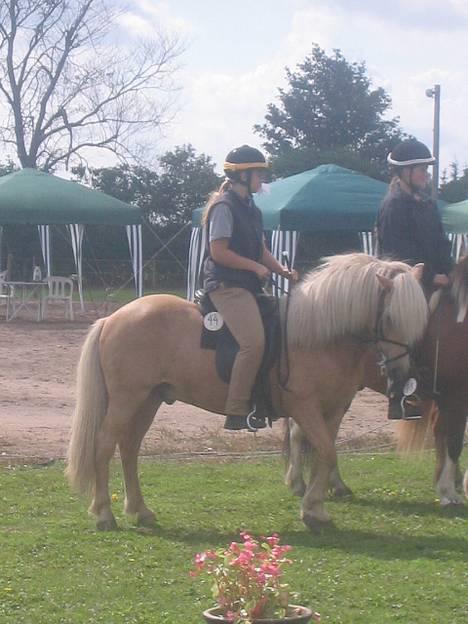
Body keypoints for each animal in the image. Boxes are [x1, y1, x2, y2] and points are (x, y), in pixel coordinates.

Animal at [66, 254, 428, 532]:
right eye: (390, 316)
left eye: (419, 320)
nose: (402, 377)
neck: (319, 337)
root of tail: (114, 317)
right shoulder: (305, 408)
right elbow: (325, 452)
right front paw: (312, 508)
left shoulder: (333, 410)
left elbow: (325, 455)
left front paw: (316, 507)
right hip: (126, 400)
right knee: (104, 446)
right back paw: (104, 514)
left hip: (149, 400)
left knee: (129, 449)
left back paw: (140, 511)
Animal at [288, 254, 468, 508]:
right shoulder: (456, 396)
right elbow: (453, 441)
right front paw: (449, 493)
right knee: (301, 431)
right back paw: (300, 483)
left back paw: (334, 485)